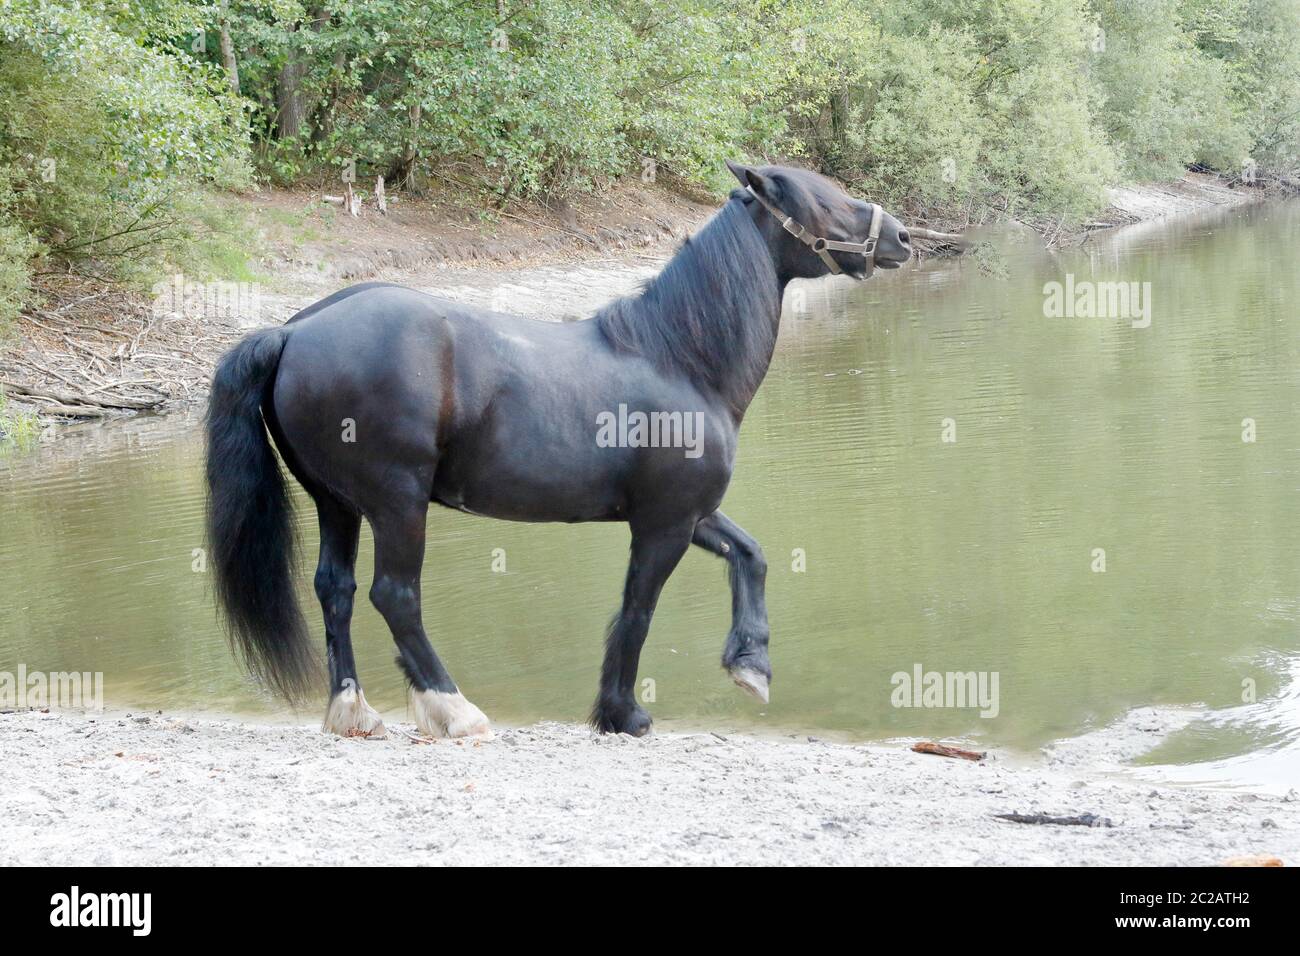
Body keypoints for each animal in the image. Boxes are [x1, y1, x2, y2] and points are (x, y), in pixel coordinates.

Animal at [205, 161, 912, 738]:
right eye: (825, 200)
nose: (902, 237)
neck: (678, 358)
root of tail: (294, 331)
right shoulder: (664, 525)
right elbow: (637, 611)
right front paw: (621, 713)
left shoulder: (688, 514)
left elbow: (752, 555)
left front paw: (751, 663)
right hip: (397, 503)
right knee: (395, 596)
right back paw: (453, 709)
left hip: (338, 503)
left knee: (337, 590)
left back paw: (352, 709)